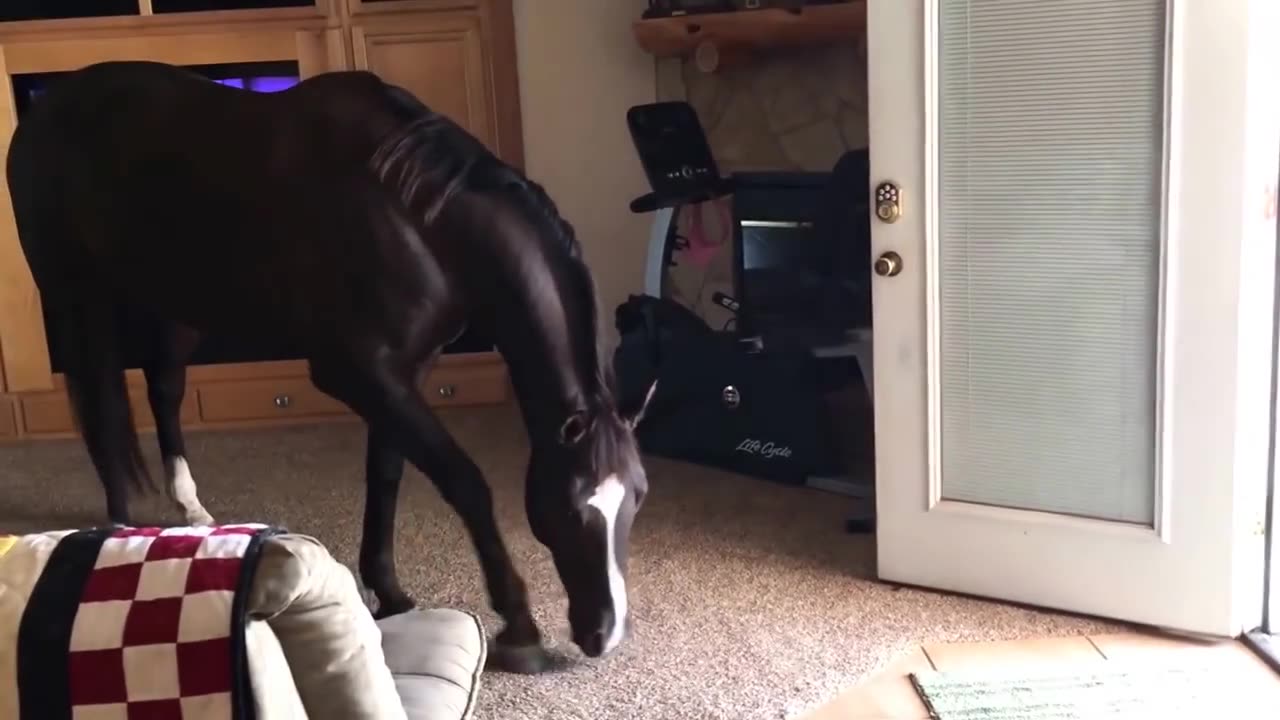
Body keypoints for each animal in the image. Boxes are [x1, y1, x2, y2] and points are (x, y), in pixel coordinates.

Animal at [5, 58, 655, 671]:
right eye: (571, 506)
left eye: (639, 496)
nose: (606, 634)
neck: (413, 214)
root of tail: (42, 113)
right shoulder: (356, 372)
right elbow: (463, 479)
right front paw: (518, 623)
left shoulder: (403, 370)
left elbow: (387, 473)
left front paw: (389, 591)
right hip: (78, 299)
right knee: (99, 404)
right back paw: (117, 526)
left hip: (175, 304)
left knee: (163, 389)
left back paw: (190, 507)